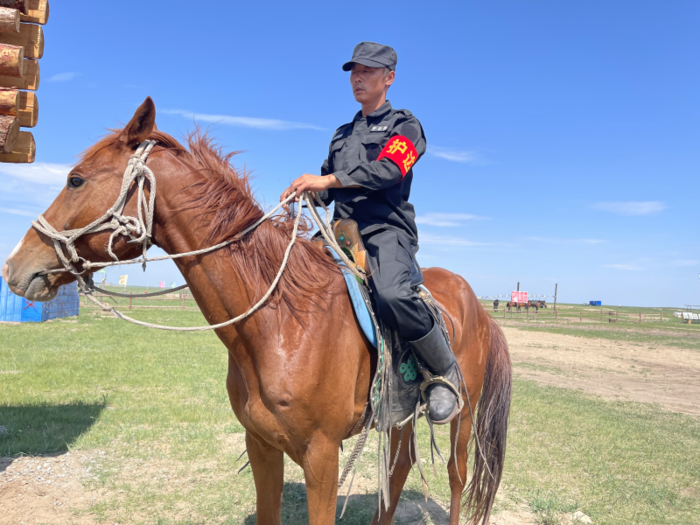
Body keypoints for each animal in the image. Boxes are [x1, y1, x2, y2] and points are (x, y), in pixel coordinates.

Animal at [2, 98, 511, 525]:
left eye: (76, 179)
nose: (14, 267)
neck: (279, 322)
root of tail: (478, 306)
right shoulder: (262, 445)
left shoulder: (322, 457)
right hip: (400, 418)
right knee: (399, 468)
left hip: (462, 417)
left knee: (456, 477)